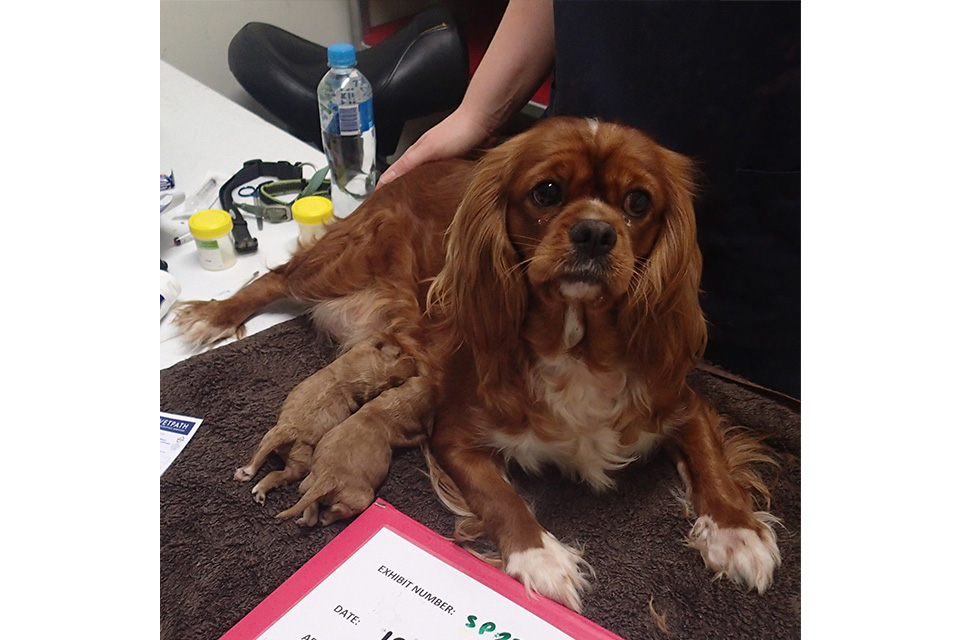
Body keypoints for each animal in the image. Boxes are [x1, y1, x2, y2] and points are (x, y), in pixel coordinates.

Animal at [233, 340, 416, 504]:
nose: (412, 358)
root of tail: (290, 430)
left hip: (278, 443)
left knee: (266, 461)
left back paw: (252, 480)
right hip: (297, 458)